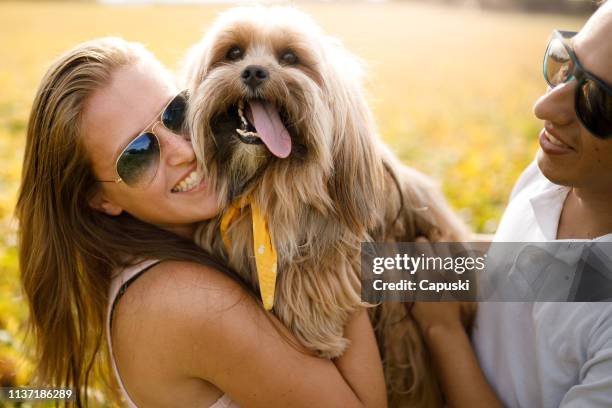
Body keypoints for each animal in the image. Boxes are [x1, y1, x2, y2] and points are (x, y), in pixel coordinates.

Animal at [183, 7, 468, 408]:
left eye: (290, 57)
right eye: (234, 53)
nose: (253, 72)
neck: (269, 182)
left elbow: (320, 258)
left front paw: (315, 326)